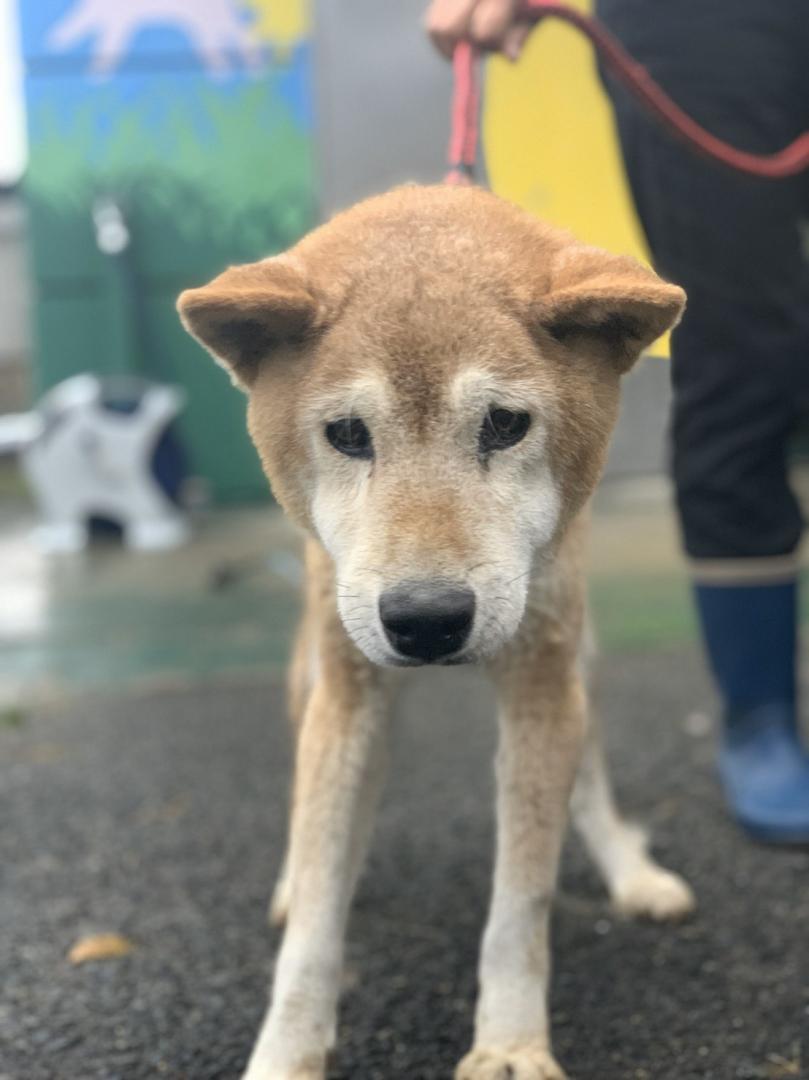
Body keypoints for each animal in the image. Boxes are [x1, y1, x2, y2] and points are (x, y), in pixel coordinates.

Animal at [177, 185, 695, 1080]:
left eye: (504, 425)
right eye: (347, 434)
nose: (425, 619)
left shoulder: (541, 683)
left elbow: (521, 903)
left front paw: (511, 1045)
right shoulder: (348, 696)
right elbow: (317, 912)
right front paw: (286, 1051)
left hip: (579, 659)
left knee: (589, 773)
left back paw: (630, 872)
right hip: (313, 672)